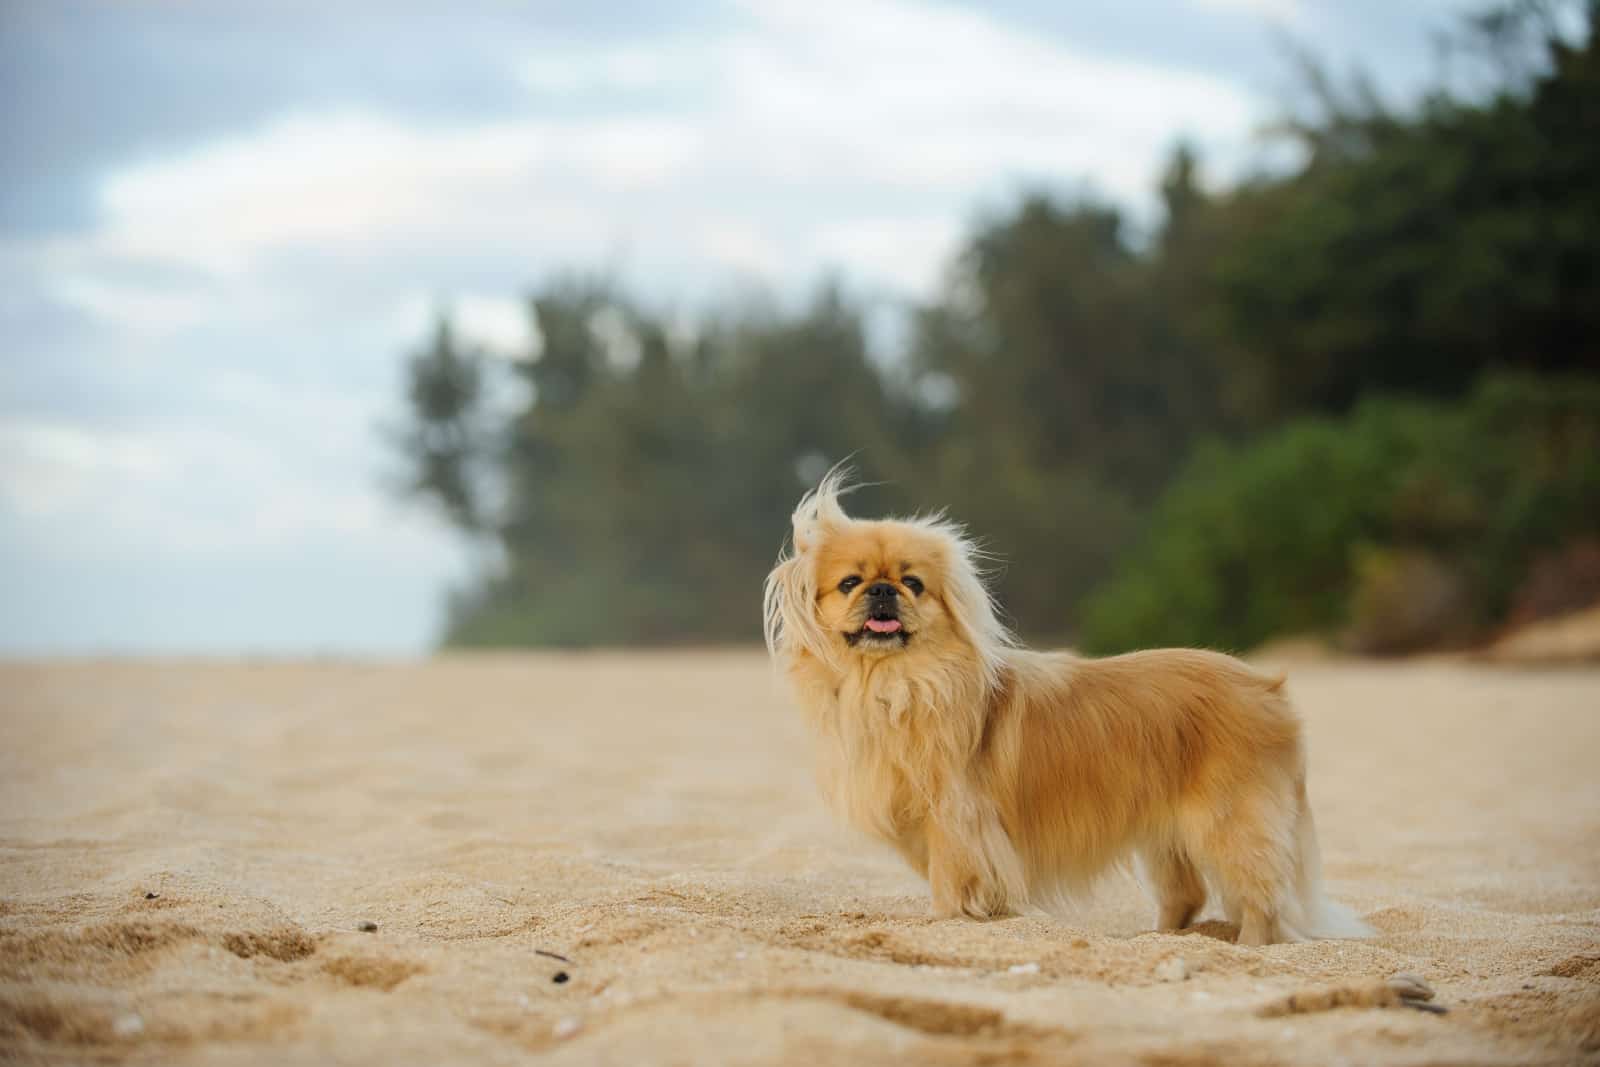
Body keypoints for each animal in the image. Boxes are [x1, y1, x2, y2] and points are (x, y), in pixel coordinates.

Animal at [758, 470, 1363, 947]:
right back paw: (1159, 938)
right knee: (1187, 897)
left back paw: (1247, 945)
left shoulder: (957, 822)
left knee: (1263, 900)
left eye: (912, 584)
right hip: (1166, 837)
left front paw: (946, 924)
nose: (884, 591)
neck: (897, 684)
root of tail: (1267, 688)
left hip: (1229, 823)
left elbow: (952, 886)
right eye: (850, 583)